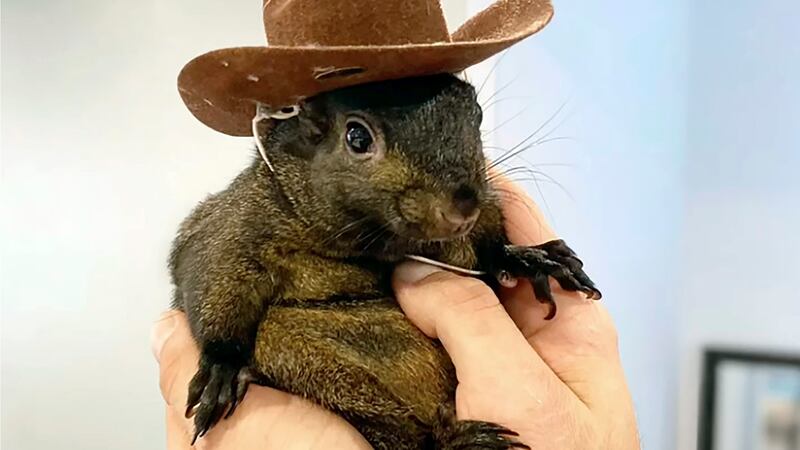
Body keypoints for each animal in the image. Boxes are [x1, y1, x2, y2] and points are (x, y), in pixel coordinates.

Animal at [169, 73, 601, 449]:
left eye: (476, 113)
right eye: (357, 137)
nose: (463, 205)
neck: (374, 243)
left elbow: (489, 246)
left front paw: (530, 258)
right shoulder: (235, 226)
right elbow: (213, 275)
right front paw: (221, 366)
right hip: (302, 357)